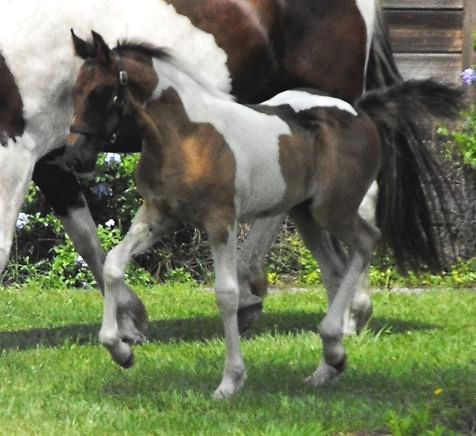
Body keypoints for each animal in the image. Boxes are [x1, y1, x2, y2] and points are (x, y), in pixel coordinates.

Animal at [0, 0, 442, 338]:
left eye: (98, 93)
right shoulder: (51, 161)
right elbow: (88, 241)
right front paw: (131, 321)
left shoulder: (15, 152)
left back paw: (340, 311)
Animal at [68, 30, 464, 398]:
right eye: (74, 90)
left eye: (100, 92)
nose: (75, 158)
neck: (185, 135)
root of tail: (360, 110)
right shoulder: (157, 214)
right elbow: (113, 264)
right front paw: (120, 350)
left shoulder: (220, 220)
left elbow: (226, 294)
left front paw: (230, 381)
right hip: (306, 216)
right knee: (335, 272)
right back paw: (329, 363)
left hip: (332, 210)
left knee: (366, 241)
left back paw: (333, 341)